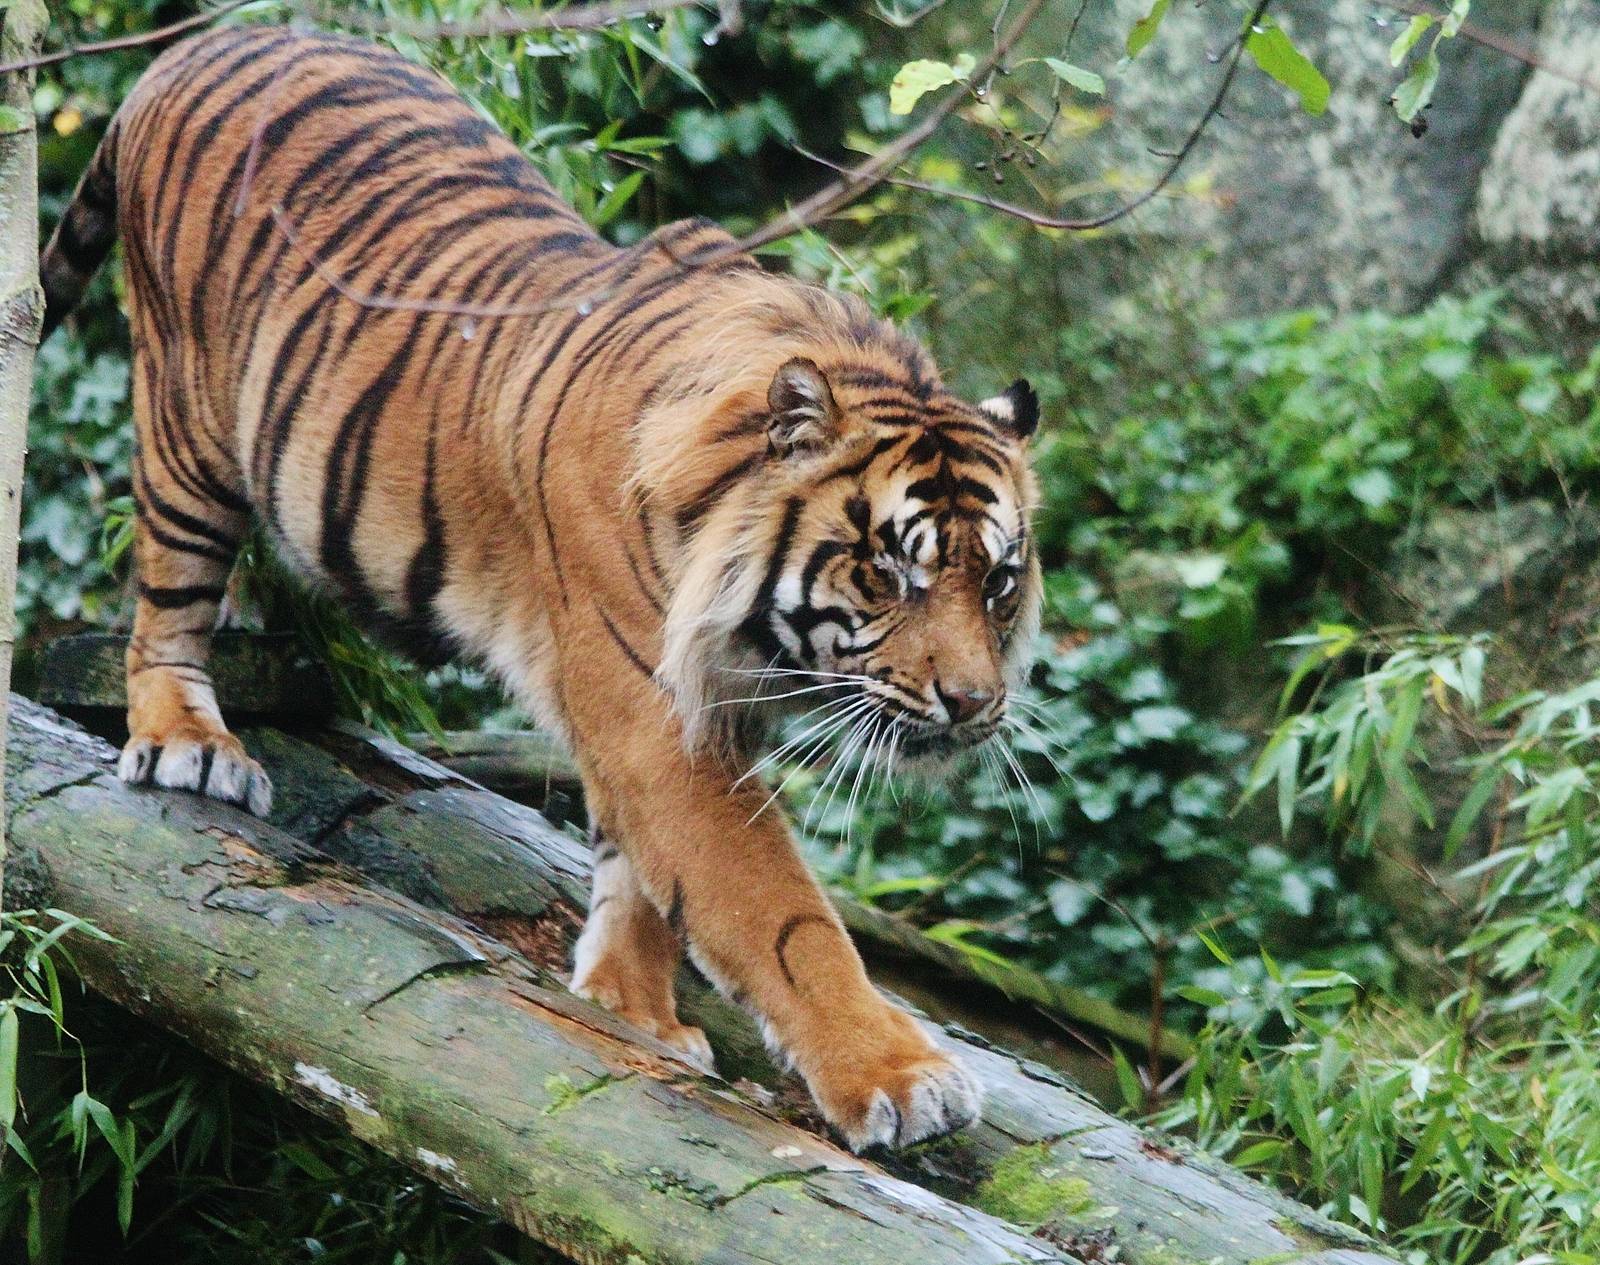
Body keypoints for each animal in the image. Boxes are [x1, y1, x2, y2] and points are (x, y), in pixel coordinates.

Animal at [38, 24, 1043, 1150]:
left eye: (1000, 581)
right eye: (883, 572)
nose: (974, 704)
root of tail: (207, 39)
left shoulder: (684, 711)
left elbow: (640, 872)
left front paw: (631, 1008)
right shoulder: (650, 708)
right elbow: (778, 909)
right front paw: (901, 1075)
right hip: (186, 425)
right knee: (167, 603)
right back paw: (189, 743)